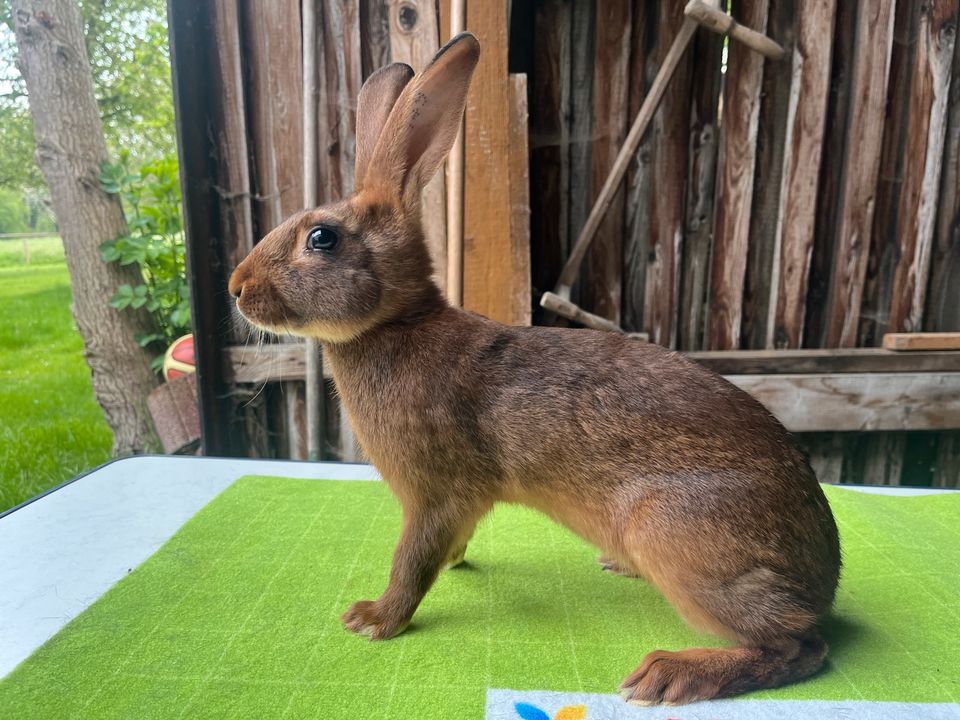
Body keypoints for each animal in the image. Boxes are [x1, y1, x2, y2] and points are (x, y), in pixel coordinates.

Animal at [227, 32, 840, 704]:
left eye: (321, 238)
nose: (236, 287)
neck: (395, 325)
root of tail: (825, 577)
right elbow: (444, 547)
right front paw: (454, 563)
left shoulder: (434, 493)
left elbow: (412, 560)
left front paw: (373, 619)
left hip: (677, 537)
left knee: (796, 648)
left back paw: (668, 673)